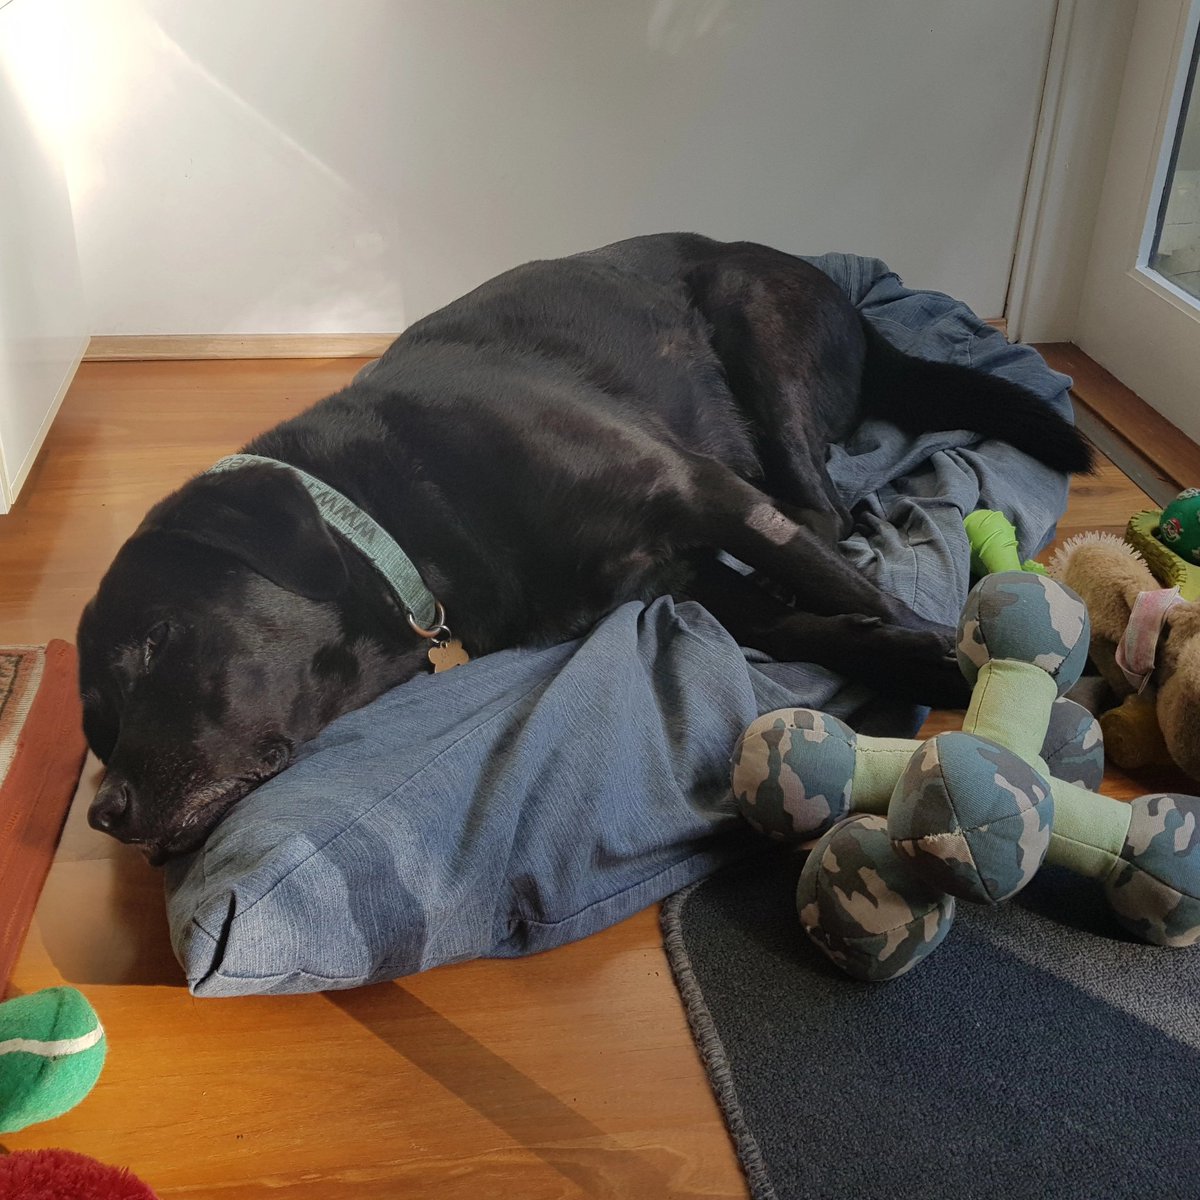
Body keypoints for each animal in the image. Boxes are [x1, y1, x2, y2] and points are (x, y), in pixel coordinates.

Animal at [75, 231, 1089, 864]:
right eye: (97, 724)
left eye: (153, 645)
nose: (106, 814)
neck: (394, 517)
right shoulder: (697, 578)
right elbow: (811, 625)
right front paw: (931, 664)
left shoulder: (699, 494)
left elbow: (852, 595)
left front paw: (979, 670)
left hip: (748, 318)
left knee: (822, 511)